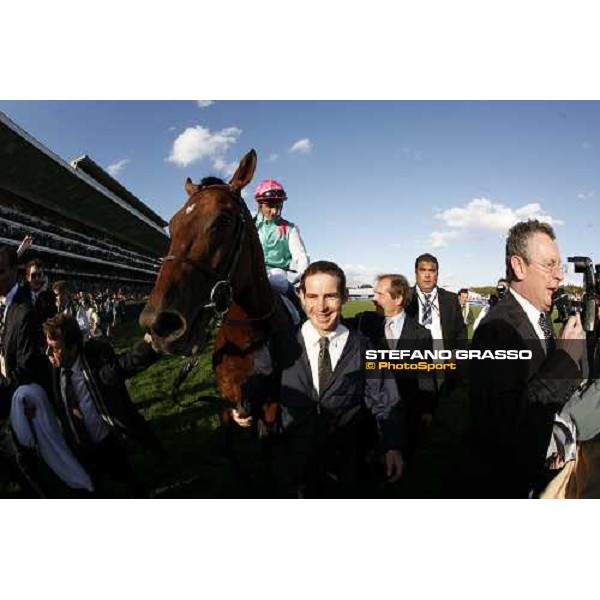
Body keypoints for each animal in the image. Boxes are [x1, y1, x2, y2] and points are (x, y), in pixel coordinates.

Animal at [140, 150, 282, 432]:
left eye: (223, 219)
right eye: (172, 224)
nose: (157, 324)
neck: (248, 340)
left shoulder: (270, 407)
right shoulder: (226, 404)